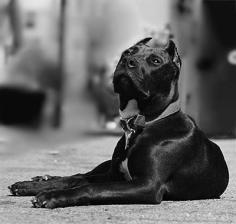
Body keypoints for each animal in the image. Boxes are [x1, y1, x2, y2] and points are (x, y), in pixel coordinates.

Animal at [8, 38, 229, 208]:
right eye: (128, 52)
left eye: (155, 60)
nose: (127, 61)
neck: (142, 123)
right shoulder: (114, 176)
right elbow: (80, 180)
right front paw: (39, 188)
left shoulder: (148, 184)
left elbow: (91, 187)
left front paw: (52, 196)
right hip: (106, 166)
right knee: (79, 175)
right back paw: (34, 182)